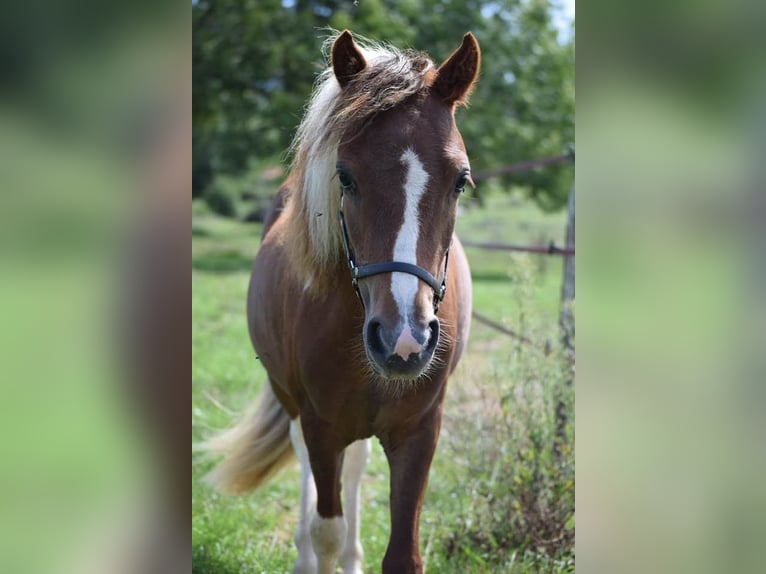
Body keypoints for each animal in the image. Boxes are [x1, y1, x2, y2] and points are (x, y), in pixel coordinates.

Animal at [205, 30, 480, 574]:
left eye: (461, 180)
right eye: (345, 177)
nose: (402, 340)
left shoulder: (420, 430)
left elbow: (403, 554)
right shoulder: (321, 426)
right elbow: (325, 527)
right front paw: (318, 552)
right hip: (291, 402)